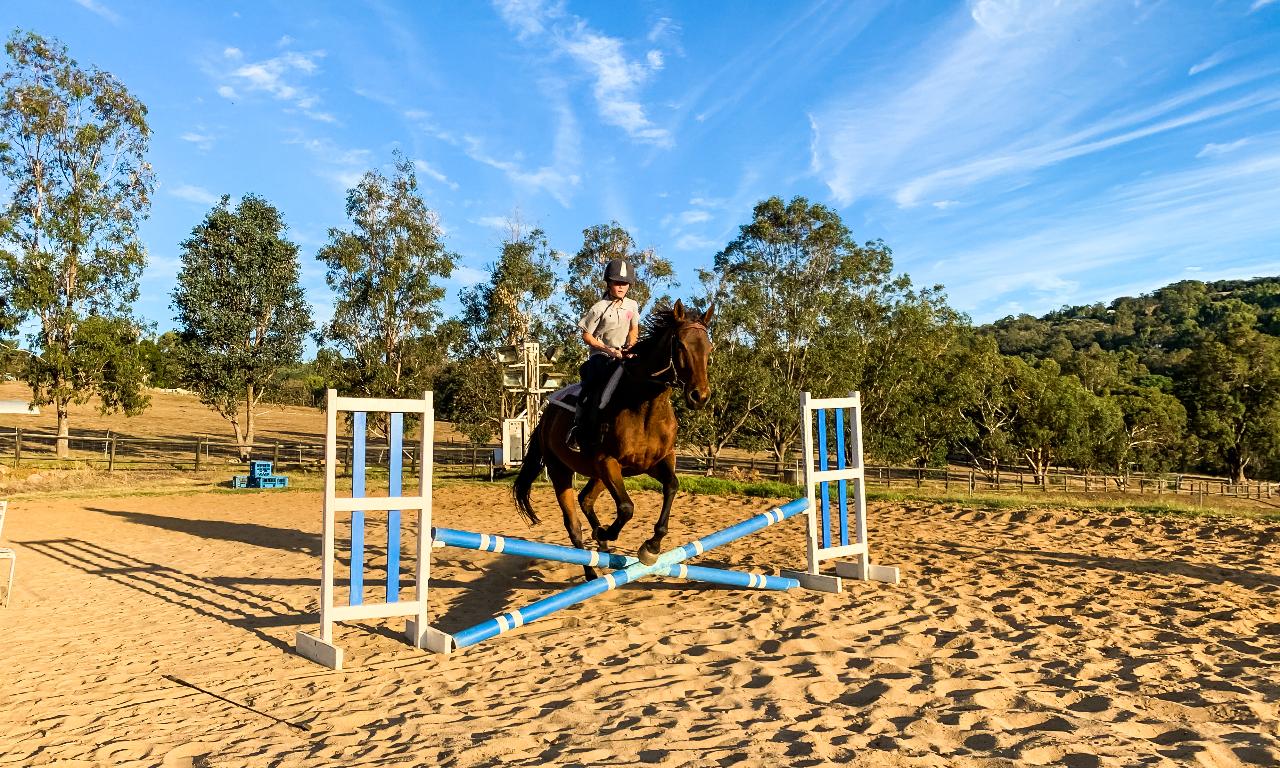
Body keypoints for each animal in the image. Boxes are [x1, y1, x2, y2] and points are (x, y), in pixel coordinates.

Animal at [509, 298, 711, 576]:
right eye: (680, 345)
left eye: (709, 348)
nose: (699, 396)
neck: (645, 405)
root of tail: (546, 413)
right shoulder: (609, 462)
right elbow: (627, 508)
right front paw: (609, 533)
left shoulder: (656, 462)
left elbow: (672, 486)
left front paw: (651, 546)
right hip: (562, 471)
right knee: (573, 524)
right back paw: (592, 568)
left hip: (597, 474)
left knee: (585, 499)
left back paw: (601, 542)